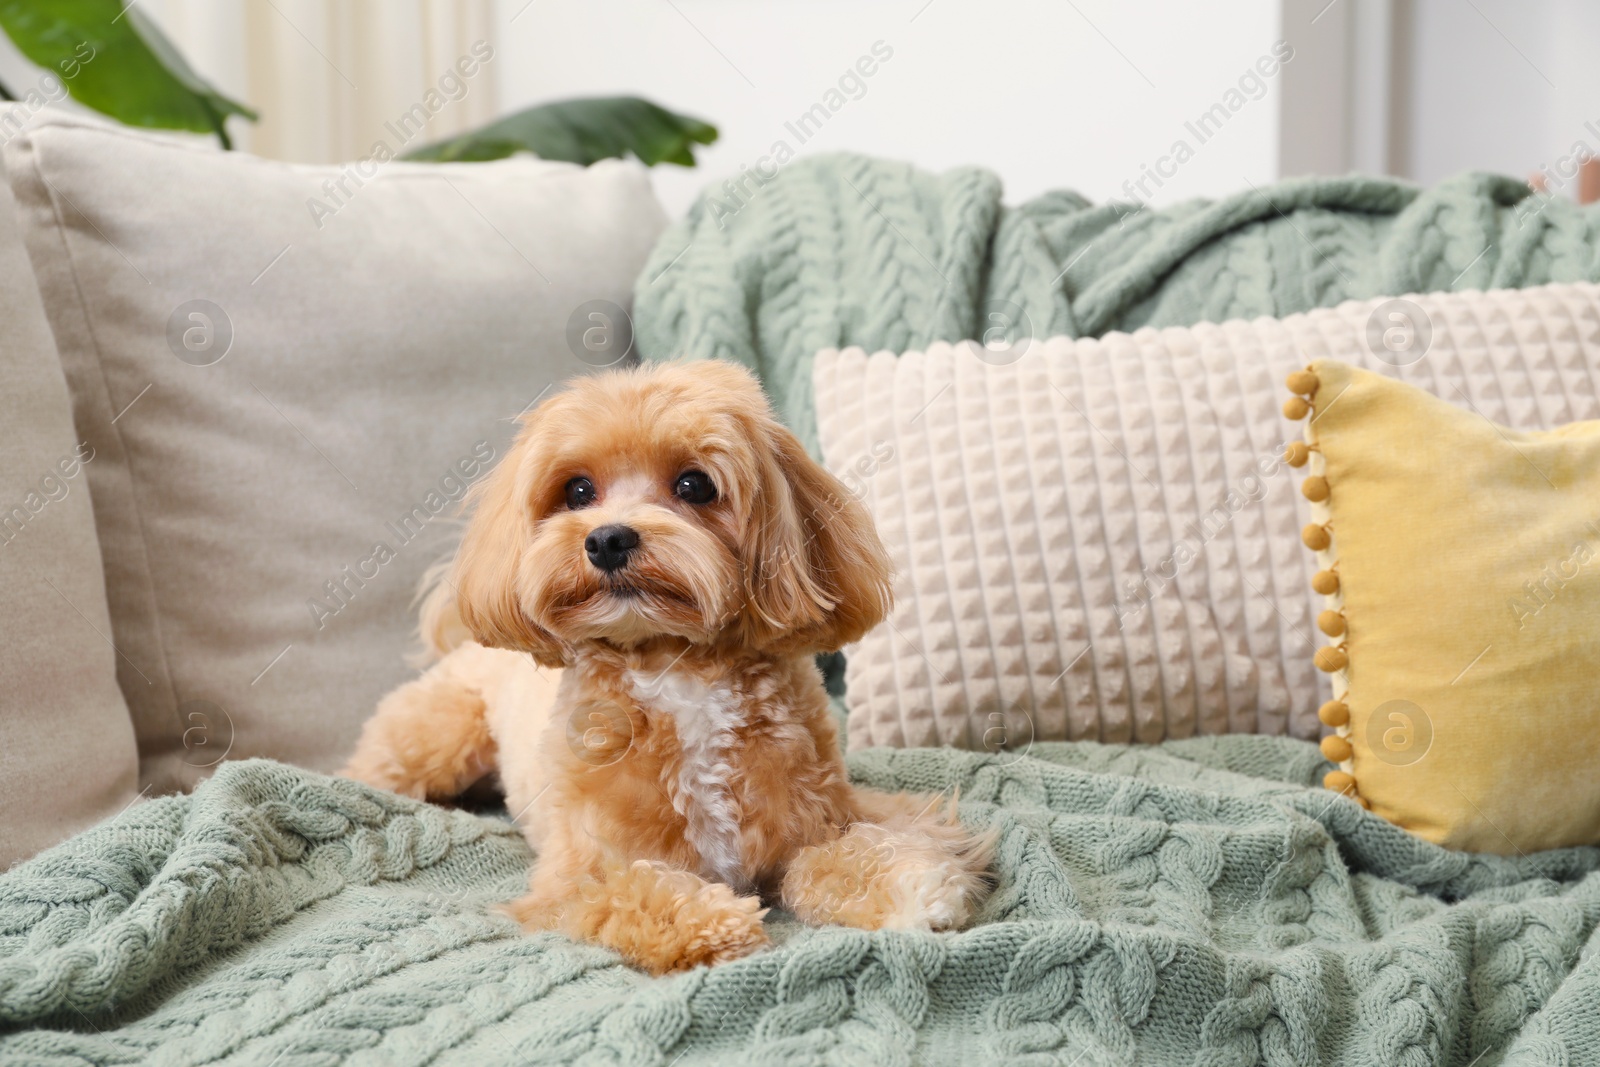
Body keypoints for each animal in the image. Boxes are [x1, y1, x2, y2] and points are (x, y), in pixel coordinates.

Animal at [340, 361, 985, 979]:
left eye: (694, 484)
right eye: (578, 490)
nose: (607, 539)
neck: (676, 668)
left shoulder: (828, 814)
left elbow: (847, 852)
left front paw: (911, 885)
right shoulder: (575, 875)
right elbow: (628, 887)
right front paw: (708, 923)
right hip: (435, 736)